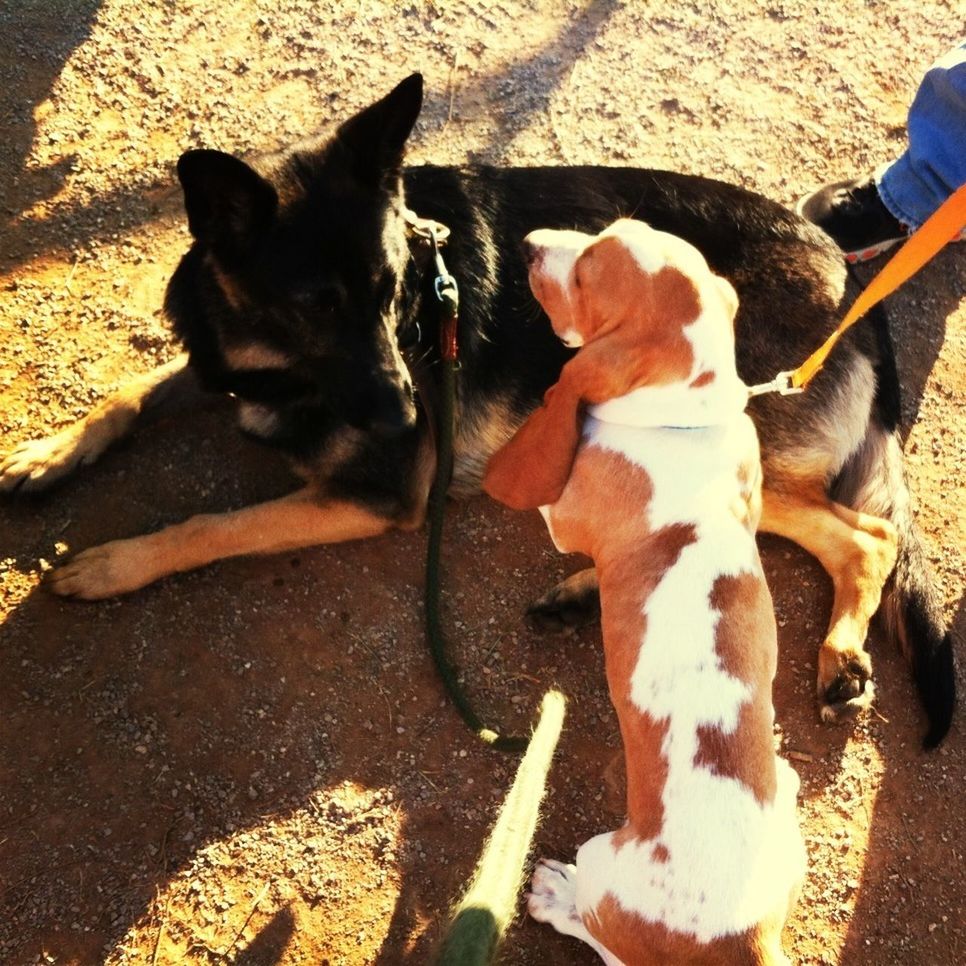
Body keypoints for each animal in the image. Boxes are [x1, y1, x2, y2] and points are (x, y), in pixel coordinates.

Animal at [0, 73, 952, 748]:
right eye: (315, 306)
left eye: (392, 293)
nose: (406, 419)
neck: (275, 367)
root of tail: (854, 286)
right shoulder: (221, 367)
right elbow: (129, 394)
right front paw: (49, 452)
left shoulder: (376, 496)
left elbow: (213, 525)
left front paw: (113, 562)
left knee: (862, 535)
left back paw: (833, 655)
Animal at [484, 221, 808, 966]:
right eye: (603, 232)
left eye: (586, 273)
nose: (530, 243)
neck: (685, 420)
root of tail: (747, 945)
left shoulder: (563, 516)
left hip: (600, 859)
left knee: (595, 931)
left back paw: (553, 896)